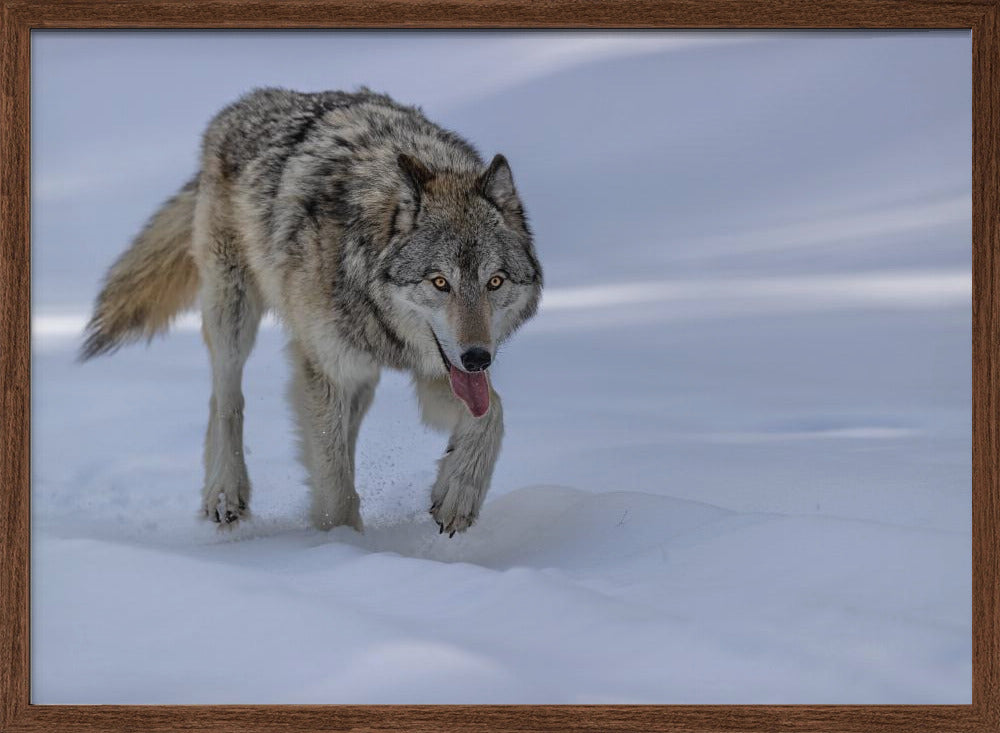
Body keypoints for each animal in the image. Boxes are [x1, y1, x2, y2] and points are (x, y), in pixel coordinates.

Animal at [81, 87, 543, 536]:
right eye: (440, 282)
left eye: (495, 282)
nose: (478, 357)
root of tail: (241, 106)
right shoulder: (325, 370)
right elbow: (334, 484)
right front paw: (339, 545)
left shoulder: (430, 371)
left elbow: (492, 412)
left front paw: (457, 495)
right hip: (234, 314)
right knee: (226, 399)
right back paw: (225, 493)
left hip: (361, 377)